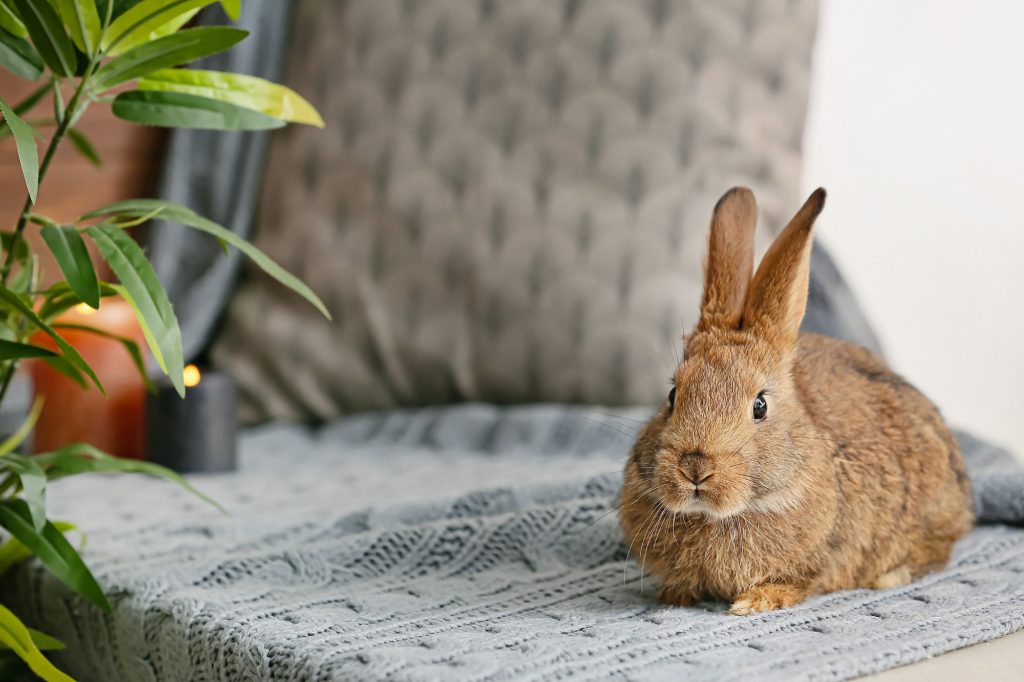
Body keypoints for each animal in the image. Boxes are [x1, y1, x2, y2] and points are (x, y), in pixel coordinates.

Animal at [618, 187, 970, 614]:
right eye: (673, 394)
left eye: (760, 406)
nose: (695, 468)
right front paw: (674, 595)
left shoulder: (820, 560)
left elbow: (798, 583)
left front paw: (754, 602)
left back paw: (889, 577)